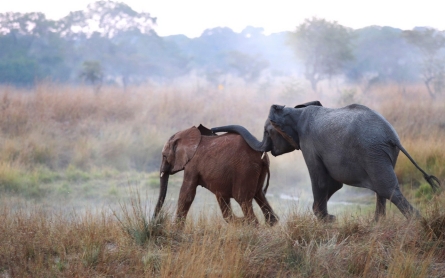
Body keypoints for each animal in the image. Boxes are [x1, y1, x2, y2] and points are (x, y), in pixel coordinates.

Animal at [211, 100, 438, 222]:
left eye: (268, 132)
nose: (211, 130)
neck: (295, 110)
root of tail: (392, 137)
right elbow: (334, 184)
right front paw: (328, 218)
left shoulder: (309, 143)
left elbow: (320, 180)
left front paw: (327, 220)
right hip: (383, 154)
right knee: (382, 191)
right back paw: (377, 223)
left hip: (372, 152)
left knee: (388, 190)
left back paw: (417, 223)